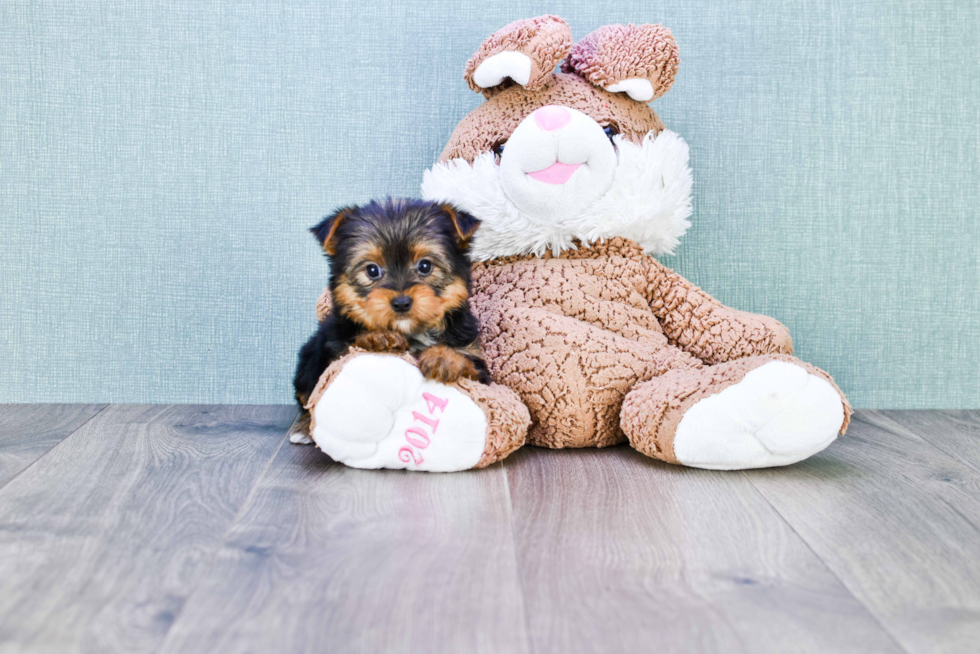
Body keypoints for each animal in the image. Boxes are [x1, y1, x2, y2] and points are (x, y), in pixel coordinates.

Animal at [290, 199, 490, 446]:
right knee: (307, 396)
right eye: (372, 270)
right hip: (308, 360)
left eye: (425, 266)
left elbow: (468, 362)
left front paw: (444, 357)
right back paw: (304, 427)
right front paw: (379, 336)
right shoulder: (336, 348)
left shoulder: (479, 366)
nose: (401, 302)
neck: (412, 332)